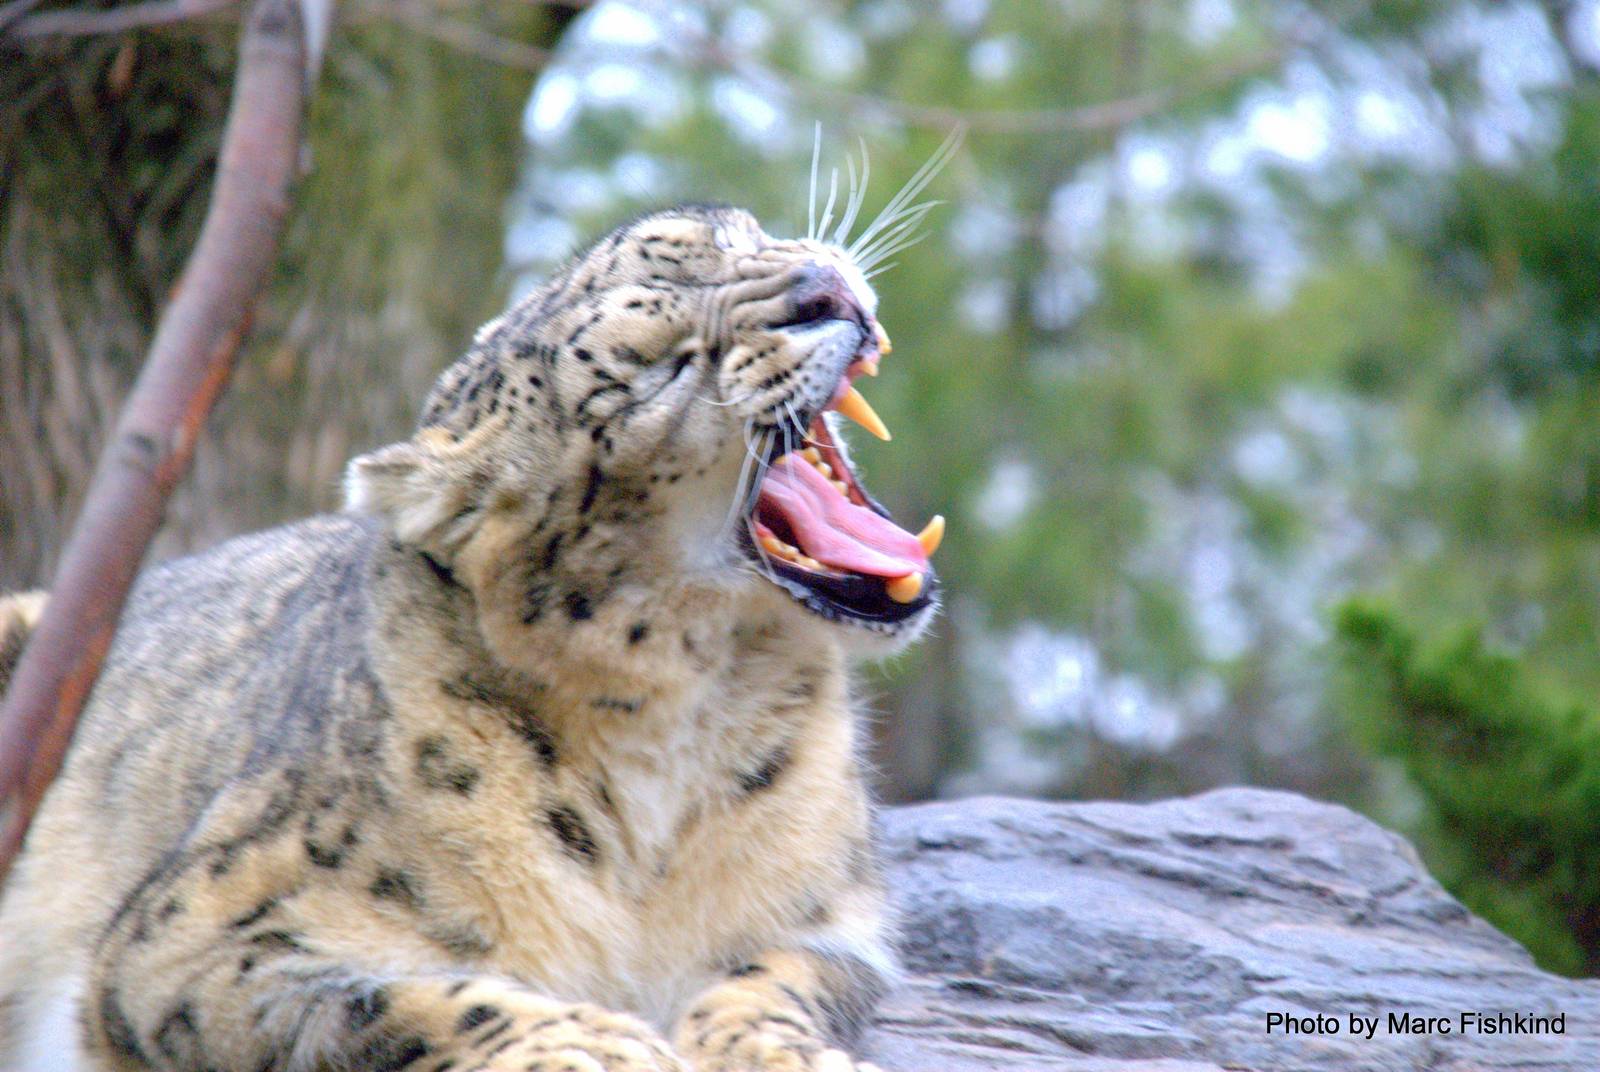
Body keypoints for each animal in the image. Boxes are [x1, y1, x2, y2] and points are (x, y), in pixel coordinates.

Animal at [0, 203, 947, 1072]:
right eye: (657, 371)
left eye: (733, 237)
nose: (822, 289)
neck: (677, 741)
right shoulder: (192, 936)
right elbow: (396, 998)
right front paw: (598, 1043)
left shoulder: (828, 914)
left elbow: (773, 980)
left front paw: (780, 1052)